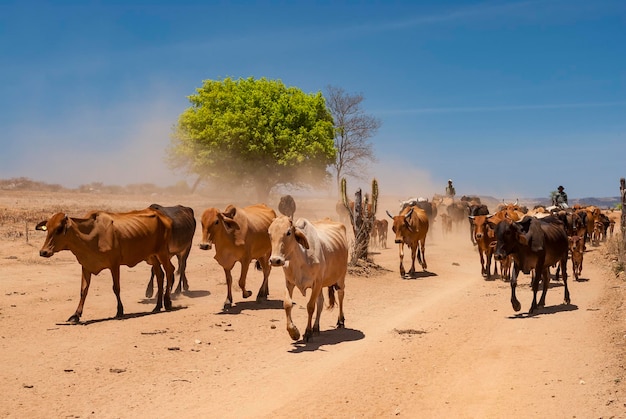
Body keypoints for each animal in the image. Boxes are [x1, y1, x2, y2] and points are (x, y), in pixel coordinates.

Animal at [35, 208, 174, 324]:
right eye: (47, 228)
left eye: (59, 229)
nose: (43, 252)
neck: (91, 235)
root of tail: (163, 216)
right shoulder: (86, 266)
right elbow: (83, 290)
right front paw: (76, 315)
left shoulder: (114, 265)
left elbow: (116, 288)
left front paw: (120, 311)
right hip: (152, 256)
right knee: (160, 275)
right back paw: (157, 306)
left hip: (162, 252)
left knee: (169, 271)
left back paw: (167, 302)